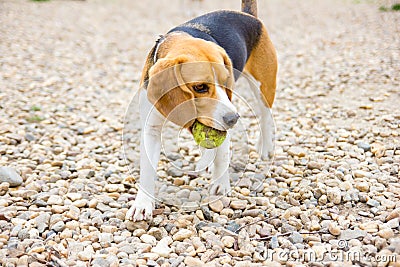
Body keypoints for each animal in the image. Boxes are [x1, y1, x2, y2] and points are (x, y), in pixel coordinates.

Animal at [126, 0, 276, 222]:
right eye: (200, 87)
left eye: (226, 81)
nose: (233, 119)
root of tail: (249, 16)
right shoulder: (151, 129)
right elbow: (147, 169)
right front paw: (142, 203)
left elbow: (223, 156)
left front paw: (221, 185)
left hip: (263, 87)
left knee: (265, 117)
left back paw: (264, 147)